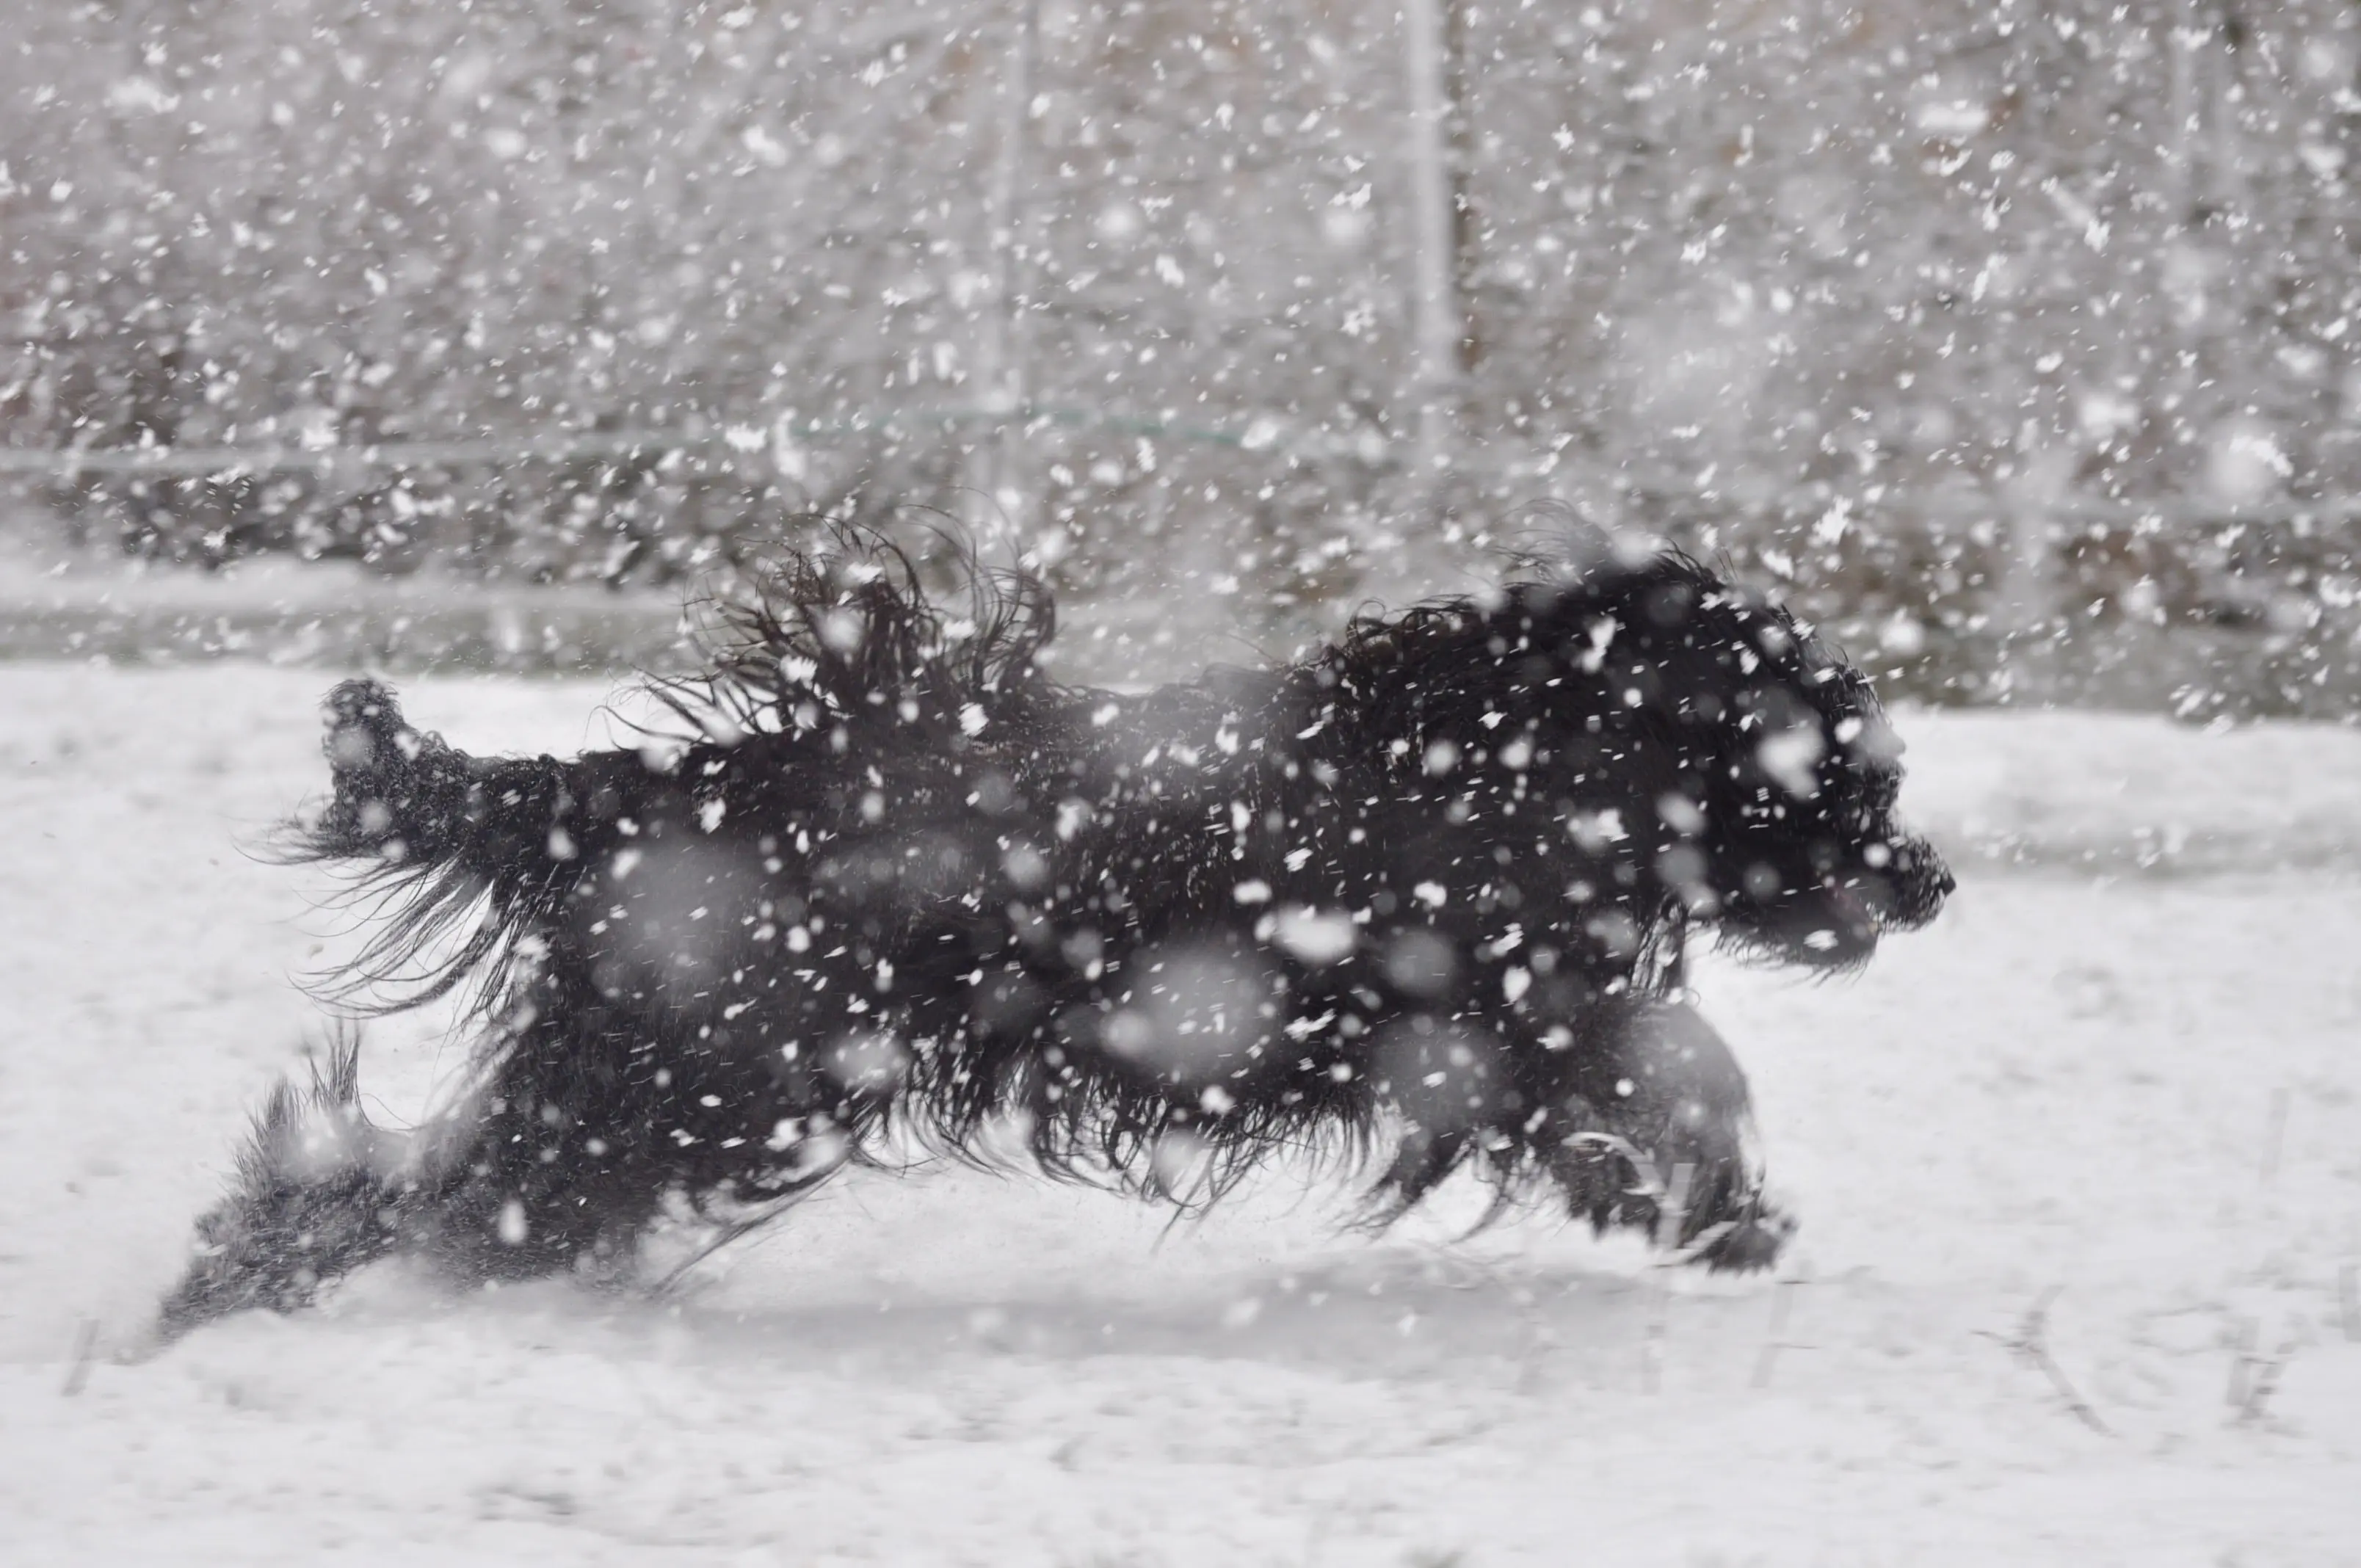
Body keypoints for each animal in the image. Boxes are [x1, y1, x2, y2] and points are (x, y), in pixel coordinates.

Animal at [156, 534, 1945, 1332]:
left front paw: (1685, 1204)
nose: (1927, 879)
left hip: (678, 1078)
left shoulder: (1500, 1021)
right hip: (712, 1081)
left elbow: (1647, 1075)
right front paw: (1719, 1210)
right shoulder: (1474, 1009)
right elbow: (1671, 1064)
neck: (1521, 757)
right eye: (1823, 757)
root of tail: (665, 789)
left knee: (415, 1177)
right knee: (461, 1198)